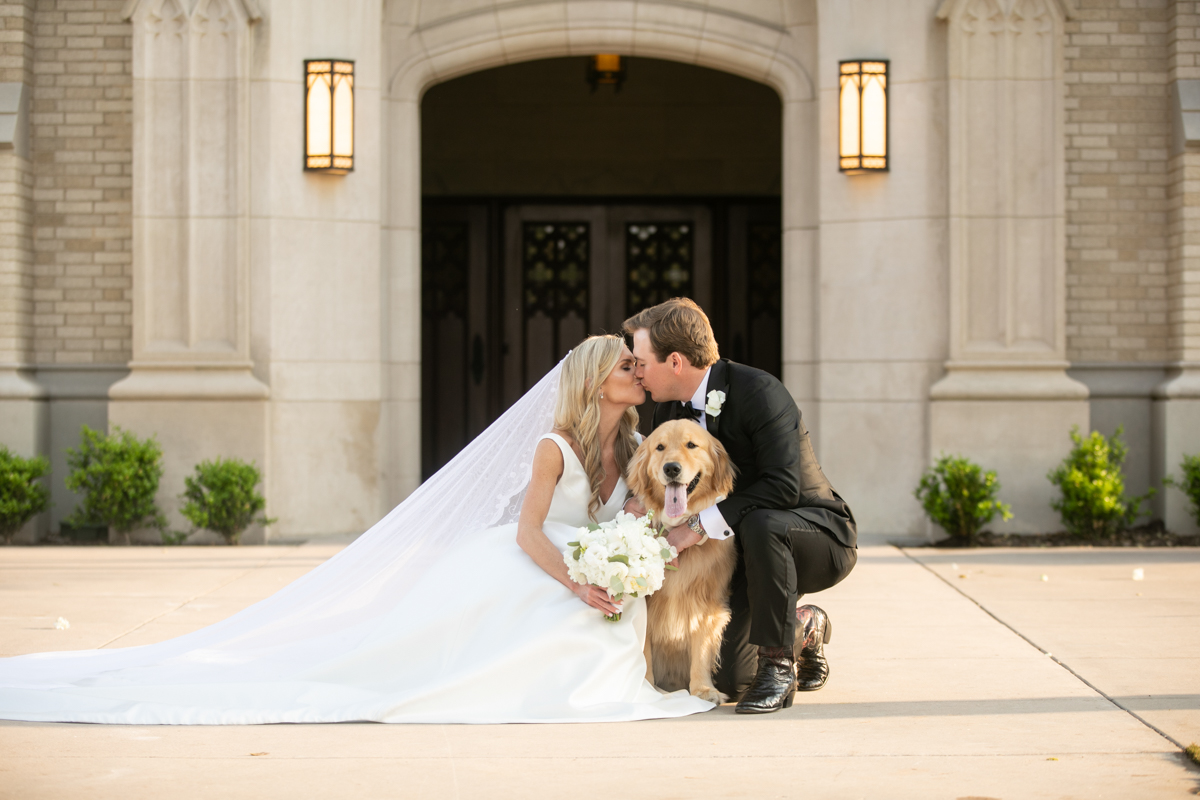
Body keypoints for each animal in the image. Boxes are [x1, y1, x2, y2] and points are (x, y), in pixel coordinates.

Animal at [624, 422, 734, 705]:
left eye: (691, 445)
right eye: (660, 447)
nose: (671, 468)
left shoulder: (706, 602)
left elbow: (702, 648)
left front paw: (703, 689)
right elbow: (644, 652)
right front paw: (647, 689)